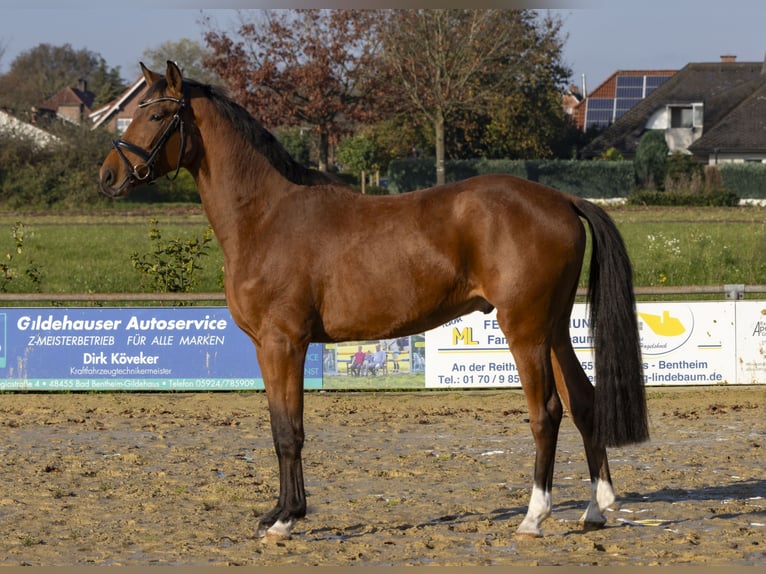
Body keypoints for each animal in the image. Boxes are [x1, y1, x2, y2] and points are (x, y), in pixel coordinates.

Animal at [99, 64, 652, 544]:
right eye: (135, 110)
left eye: (156, 115)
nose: (106, 177)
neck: (267, 215)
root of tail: (561, 200)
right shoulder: (270, 347)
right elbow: (281, 426)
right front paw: (279, 512)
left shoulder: (283, 343)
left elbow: (288, 431)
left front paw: (287, 519)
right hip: (554, 329)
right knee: (584, 402)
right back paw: (596, 509)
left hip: (526, 330)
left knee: (547, 412)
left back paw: (534, 516)